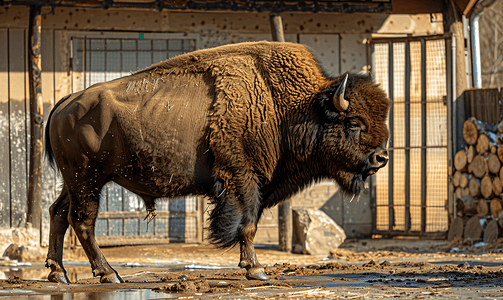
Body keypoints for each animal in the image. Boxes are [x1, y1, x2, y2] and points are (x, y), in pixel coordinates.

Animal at [44, 40, 390, 284]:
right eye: (354, 123)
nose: (382, 157)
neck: (287, 107)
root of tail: (65, 102)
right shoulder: (243, 178)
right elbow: (247, 225)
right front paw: (256, 270)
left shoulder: (255, 185)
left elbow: (248, 224)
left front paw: (251, 266)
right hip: (87, 179)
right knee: (82, 221)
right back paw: (108, 274)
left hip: (75, 182)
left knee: (59, 213)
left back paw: (58, 273)